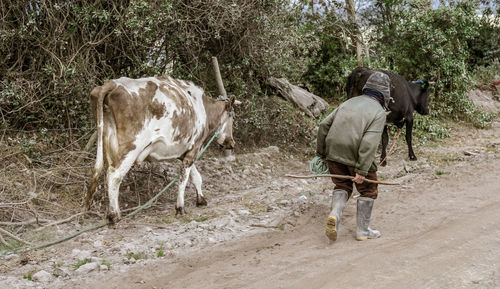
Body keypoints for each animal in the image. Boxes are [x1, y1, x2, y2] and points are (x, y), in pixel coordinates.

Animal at [85, 76, 237, 223]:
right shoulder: (194, 148)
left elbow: (196, 177)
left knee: (106, 175)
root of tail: (112, 84)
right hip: (131, 148)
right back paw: (114, 216)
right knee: (114, 176)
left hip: (107, 147)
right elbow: (183, 179)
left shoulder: (184, 152)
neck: (203, 109)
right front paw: (180, 208)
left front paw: (201, 200)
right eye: (233, 118)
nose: (232, 143)